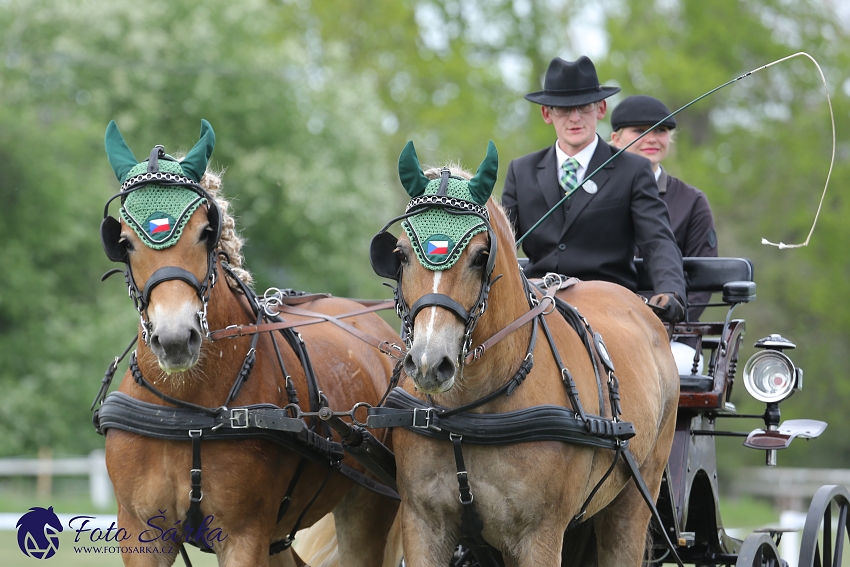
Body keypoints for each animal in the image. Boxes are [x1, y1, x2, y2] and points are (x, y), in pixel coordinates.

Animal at [97, 120, 402, 567]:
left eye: (206, 233)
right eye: (124, 242)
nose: (175, 339)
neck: (186, 411)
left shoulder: (244, 534)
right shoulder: (140, 533)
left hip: (368, 506)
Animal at [368, 142, 680, 567]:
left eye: (480, 256)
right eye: (400, 254)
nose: (431, 363)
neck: (468, 414)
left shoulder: (541, 536)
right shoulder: (423, 525)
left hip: (634, 499)